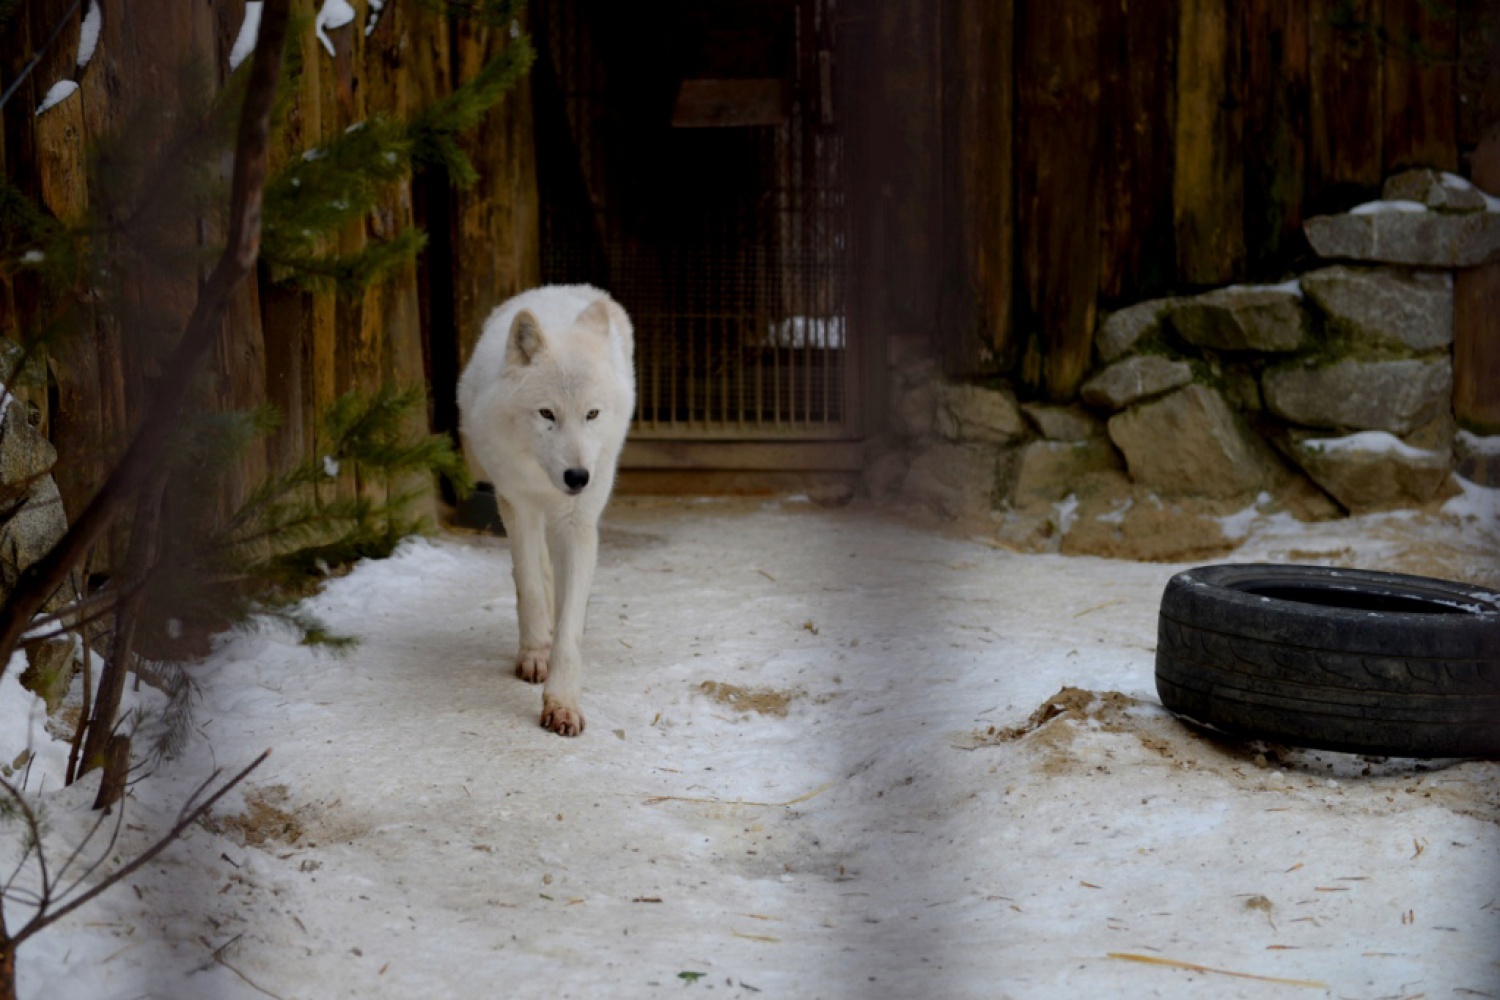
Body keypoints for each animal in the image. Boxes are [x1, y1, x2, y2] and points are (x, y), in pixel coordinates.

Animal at [462, 283, 639, 734]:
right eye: (546, 413)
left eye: (591, 414)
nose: (578, 477)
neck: (545, 478)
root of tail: (566, 287)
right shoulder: (518, 506)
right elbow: (529, 586)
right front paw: (534, 654)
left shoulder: (577, 525)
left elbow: (569, 630)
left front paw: (561, 703)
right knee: (537, 576)